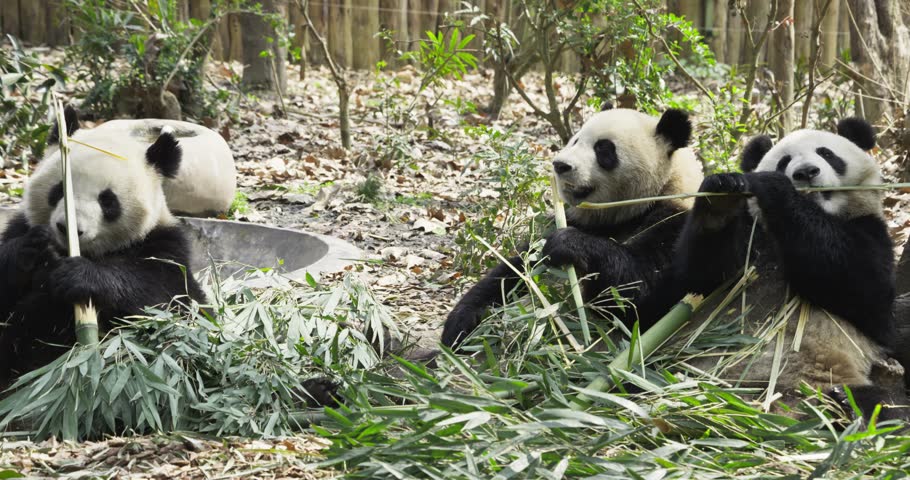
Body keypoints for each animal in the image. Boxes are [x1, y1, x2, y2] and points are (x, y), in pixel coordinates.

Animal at [0, 107, 206, 390]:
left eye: (107, 200)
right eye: (59, 190)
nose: (68, 228)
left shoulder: (164, 246)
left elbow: (163, 298)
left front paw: (78, 276)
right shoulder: (19, 226)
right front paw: (32, 249)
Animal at [441, 107, 704, 348]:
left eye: (604, 148)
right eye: (576, 140)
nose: (560, 165)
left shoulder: (674, 222)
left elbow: (636, 297)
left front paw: (567, 244)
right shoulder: (570, 221)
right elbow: (513, 273)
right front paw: (460, 324)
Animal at [672, 117, 909, 420]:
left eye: (826, 153)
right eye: (784, 161)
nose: (806, 172)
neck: (817, 213)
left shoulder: (872, 232)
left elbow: (865, 290)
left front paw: (776, 188)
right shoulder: (752, 242)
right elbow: (698, 279)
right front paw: (721, 196)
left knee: (885, 406)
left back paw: (846, 403)